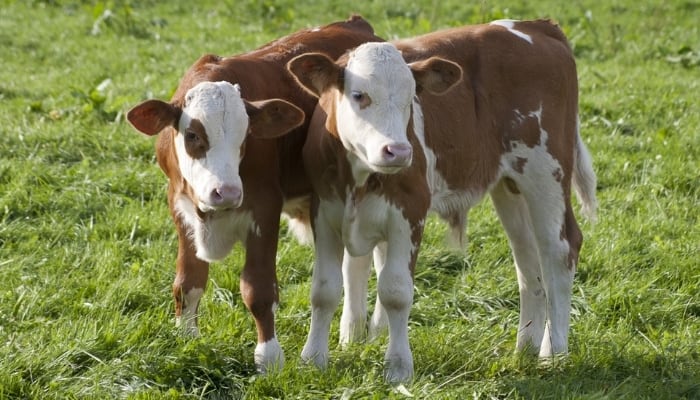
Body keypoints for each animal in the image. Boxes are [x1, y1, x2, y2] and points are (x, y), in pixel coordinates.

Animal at [123, 14, 380, 372]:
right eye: (192, 135)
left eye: (246, 136)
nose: (226, 192)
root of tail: (355, 23)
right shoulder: (180, 207)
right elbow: (188, 282)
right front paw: (186, 338)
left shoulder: (264, 209)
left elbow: (258, 290)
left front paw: (268, 357)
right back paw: (352, 334)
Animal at [288, 20, 600, 382]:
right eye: (359, 95)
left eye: (412, 98)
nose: (399, 151)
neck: (359, 179)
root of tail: (536, 26)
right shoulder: (324, 213)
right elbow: (323, 290)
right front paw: (313, 359)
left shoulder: (410, 213)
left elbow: (395, 291)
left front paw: (398, 367)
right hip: (510, 185)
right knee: (526, 260)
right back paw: (525, 348)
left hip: (546, 172)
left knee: (559, 250)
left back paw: (553, 352)